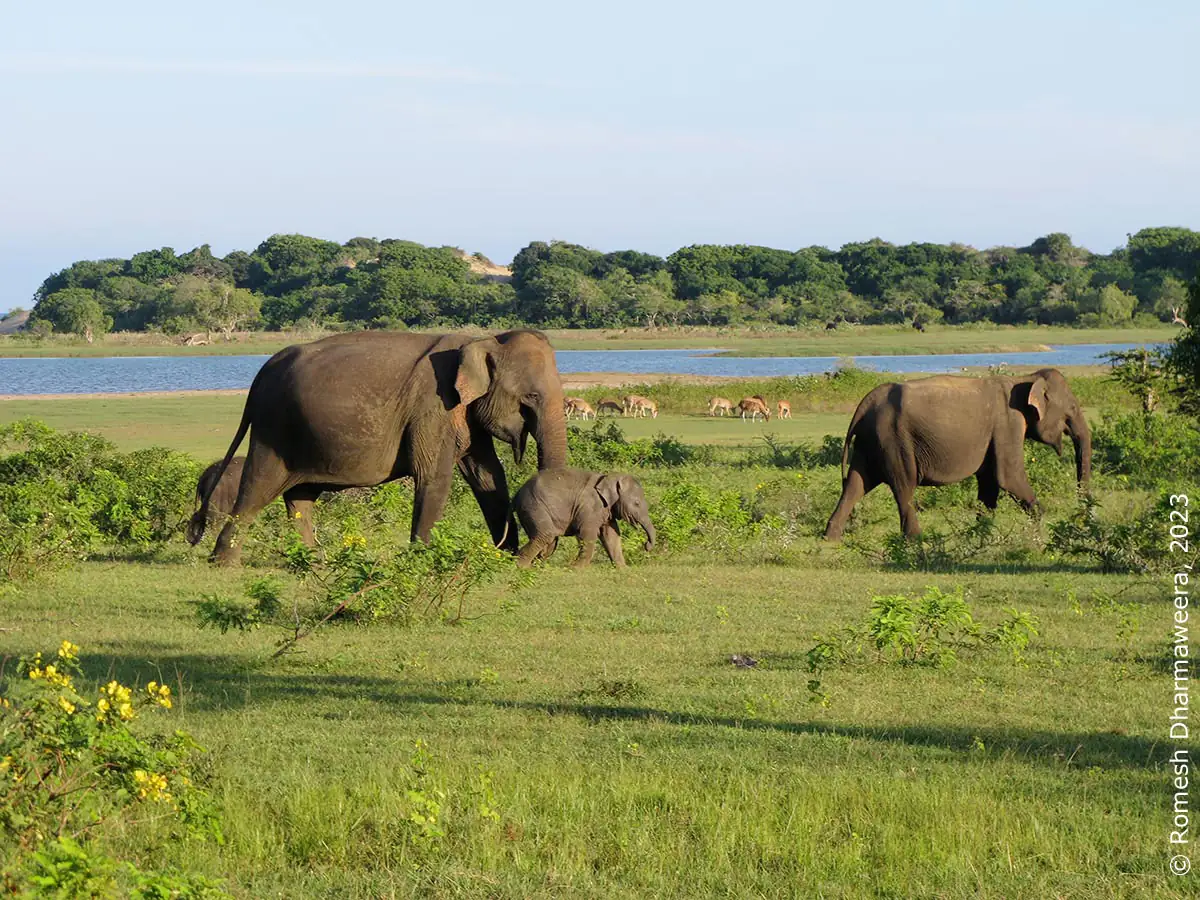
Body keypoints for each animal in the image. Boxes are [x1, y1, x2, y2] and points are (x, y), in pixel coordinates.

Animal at [196, 329, 569, 565]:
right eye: (531, 397)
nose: (543, 555)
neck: (481, 340)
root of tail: (260, 374)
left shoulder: (463, 415)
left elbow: (488, 476)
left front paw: (504, 556)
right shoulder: (433, 408)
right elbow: (434, 477)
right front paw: (421, 559)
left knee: (300, 497)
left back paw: (312, 560)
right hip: (273, 430)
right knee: (257, 489)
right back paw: (224, 562)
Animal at [511, 468, 655, 567]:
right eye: (636, 503)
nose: (646, 546)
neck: (608, 477)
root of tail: (517, 494)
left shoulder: (605, 510)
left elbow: (611, 535)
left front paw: (623, 569)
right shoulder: (590, 507)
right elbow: (588, 533)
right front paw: (577, 569)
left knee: (549, 541)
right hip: (534, 507)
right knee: (546, 535)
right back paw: (521, 566)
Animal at [823, 367, 1091, 540]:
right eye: (1073, 408)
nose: (1083, 518)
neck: (1025, 378)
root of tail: (865, 403)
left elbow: (990, 483)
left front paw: (980, 533)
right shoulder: (1008, 423)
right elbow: (1008, 476)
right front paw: (1040, 527)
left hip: (870, 442)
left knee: (856, 484)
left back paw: (831, 538)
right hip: (893, 439)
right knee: (903, 486)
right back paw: (916, 539)